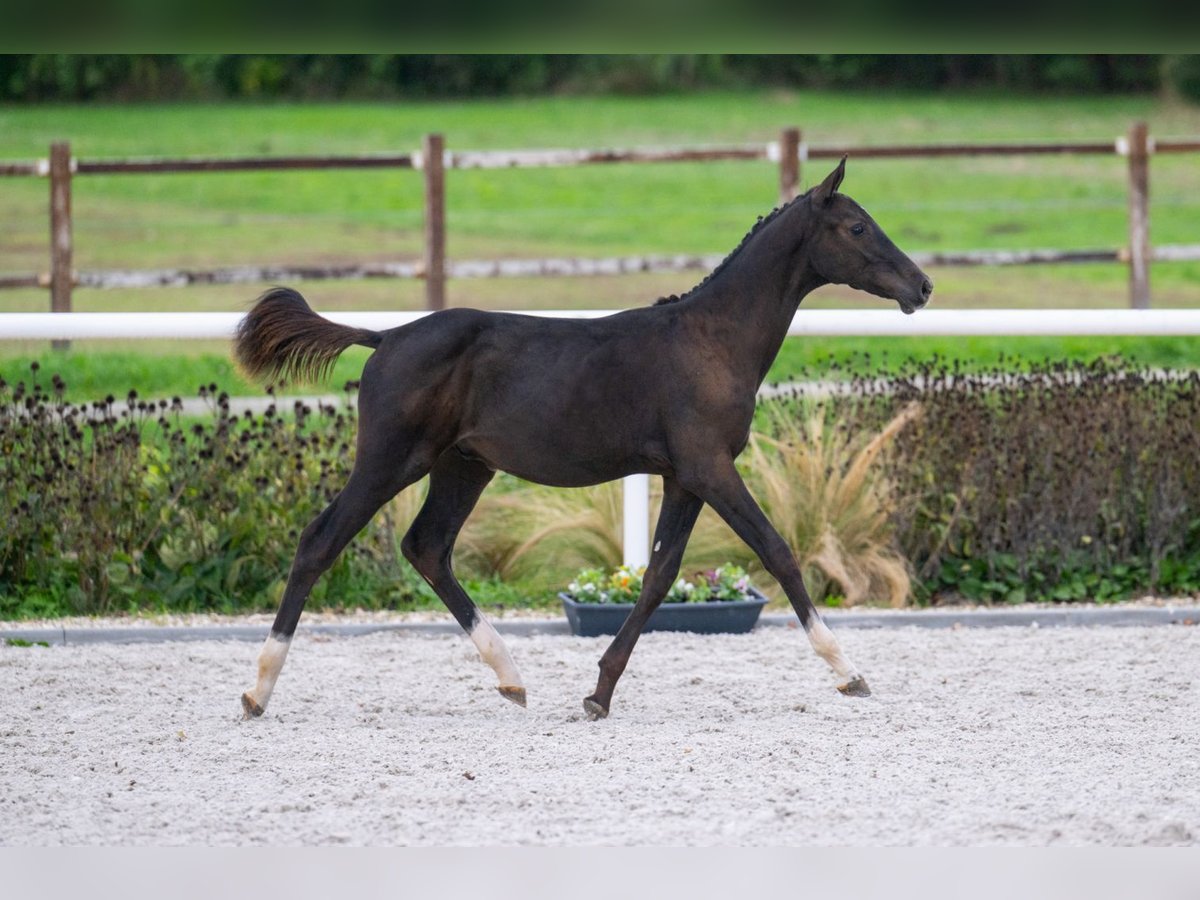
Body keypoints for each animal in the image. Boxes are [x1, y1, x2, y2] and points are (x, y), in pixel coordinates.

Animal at [234, 158, 926, 724]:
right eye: (858, 228)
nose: (922, 287)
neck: (710, 339)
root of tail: (386, 337)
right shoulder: (710, 467)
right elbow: (777, 552)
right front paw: (849, 673)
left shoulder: (683, 475)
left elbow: (659, 574)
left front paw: (599, 693)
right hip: (390, 461)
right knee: (320, 541)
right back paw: (258, 690)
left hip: (464, 466)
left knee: (427, 547)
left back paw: (511, 679)